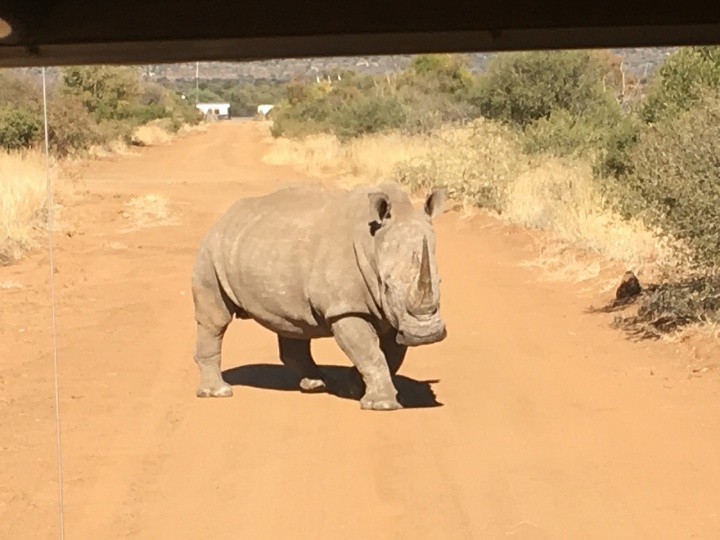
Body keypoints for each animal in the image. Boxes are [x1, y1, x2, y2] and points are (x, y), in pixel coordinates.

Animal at [193, 181, 450, 410]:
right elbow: (371, 354)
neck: (373, 243)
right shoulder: (345, 308)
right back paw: (218, 392)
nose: (426, 335)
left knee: (293, 323)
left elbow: (388, 354)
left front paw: (354, 388)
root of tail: (223, 218)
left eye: (439, 282)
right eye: (386, 286)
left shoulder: (392, 316)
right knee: (215, 320)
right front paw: (382, 405)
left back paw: (317, 384)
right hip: (212, 250)